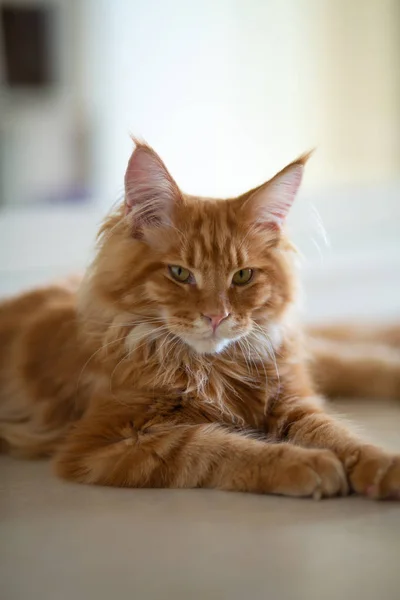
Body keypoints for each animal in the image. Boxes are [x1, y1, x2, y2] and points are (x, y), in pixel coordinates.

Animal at [0, 138, 398, 500]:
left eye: (242, 276)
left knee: (354, 353)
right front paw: (306, 462)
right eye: (179, 273)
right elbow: (220, 448)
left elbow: (338, 434)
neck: (213, 368)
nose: (216, 316)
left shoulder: (293, 404)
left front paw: (381, 465)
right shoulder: (104, 444)